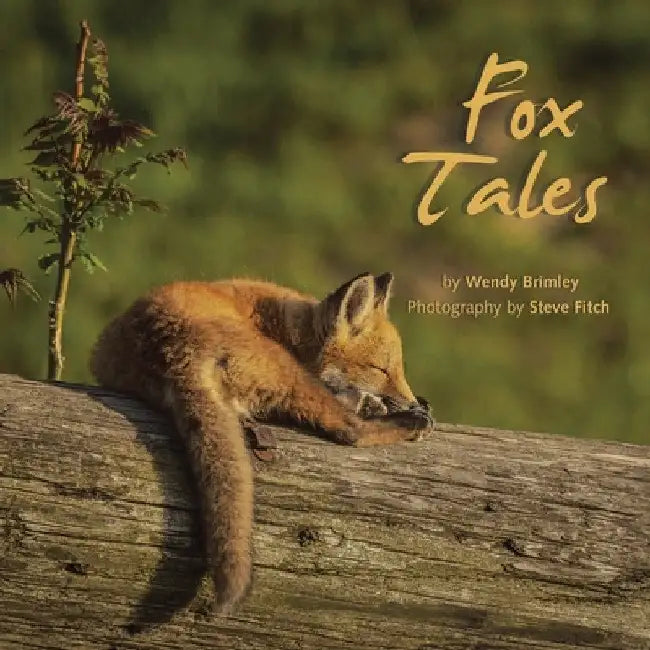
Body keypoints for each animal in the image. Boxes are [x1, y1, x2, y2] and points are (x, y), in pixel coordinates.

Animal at [90, 272, 433, 613]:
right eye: (380, 370)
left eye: (399, 370)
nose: (413, 403)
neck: (284, 325)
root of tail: (169, 344)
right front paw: (401, 411)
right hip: (292, 375)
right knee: (350, 430)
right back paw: (410, 423)